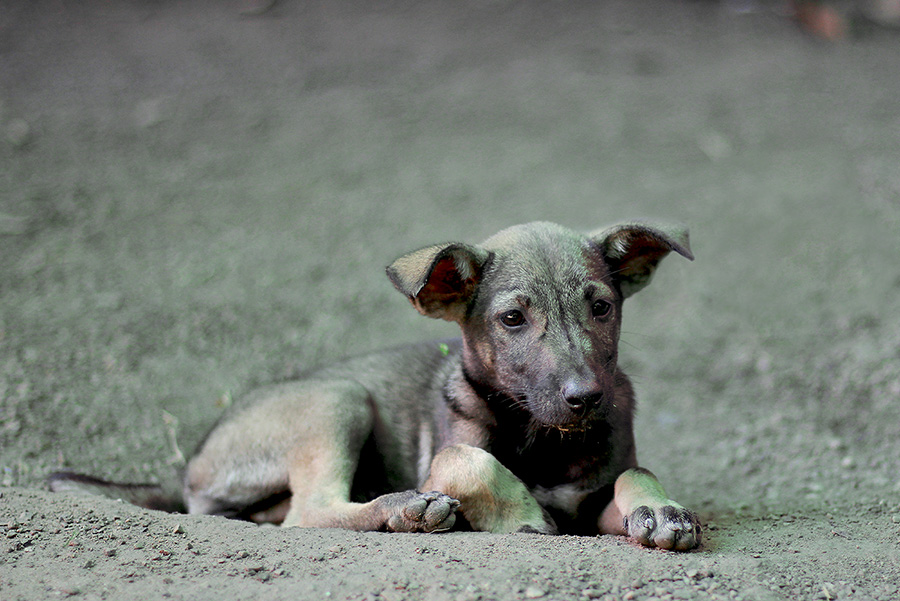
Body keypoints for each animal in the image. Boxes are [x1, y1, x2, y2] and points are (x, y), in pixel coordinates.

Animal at [49, 221, 701, 551]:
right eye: (513, 319)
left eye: (601, 307)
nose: (586, 397)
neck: (542, 438)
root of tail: (189, 465)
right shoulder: (451, 456)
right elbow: (463, 459)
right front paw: (521, 515)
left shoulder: (592, 499)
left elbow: (634, 472)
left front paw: (661, 510)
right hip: (338, 400)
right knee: (307, 513)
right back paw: (404, 509)